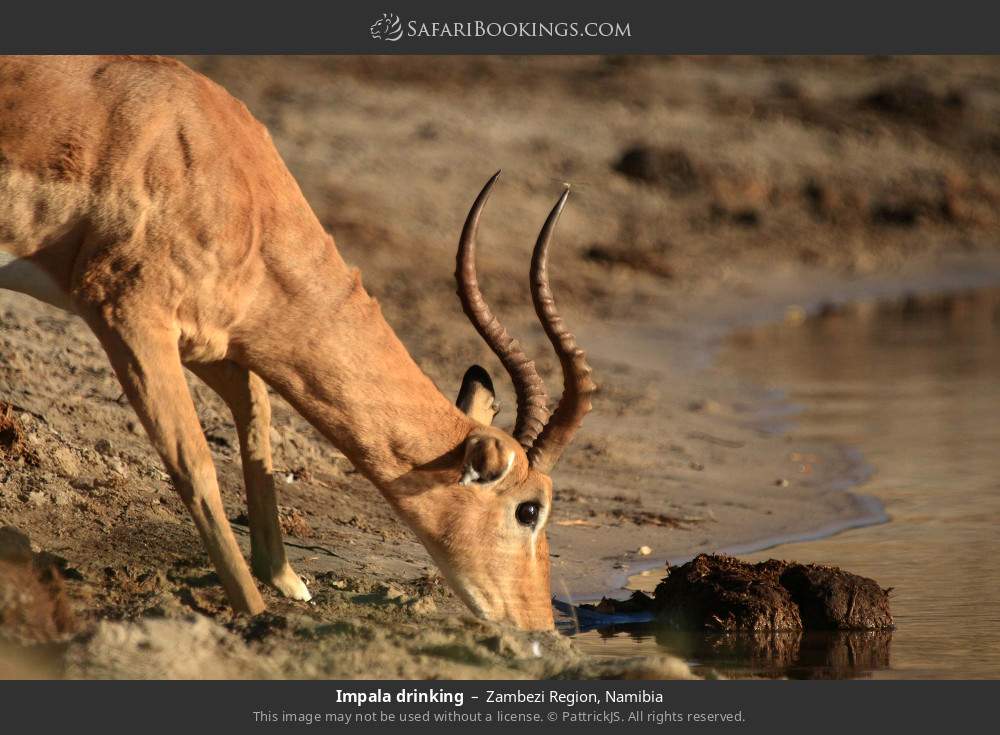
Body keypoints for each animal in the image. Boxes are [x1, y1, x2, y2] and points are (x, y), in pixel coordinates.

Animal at [0, 56, 594, 630]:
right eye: (529, 509)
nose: (542, 628)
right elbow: (193, 462)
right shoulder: (125, 315)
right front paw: (255, 612)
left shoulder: (212, 340)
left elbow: (256, 412)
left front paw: (287, 582)